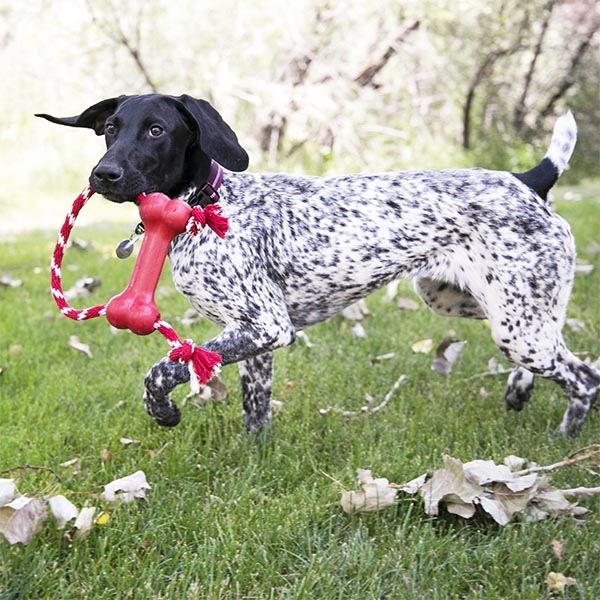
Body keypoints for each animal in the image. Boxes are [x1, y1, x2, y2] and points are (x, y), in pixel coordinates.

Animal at [37, 95, 596, 440]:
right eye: (110, 129)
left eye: (155, 130)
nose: (103, 174)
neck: (208, 206)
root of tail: (528, 179)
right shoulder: (253, 337)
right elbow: (255, 412)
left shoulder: (266, 326)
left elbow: (163, 369)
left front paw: (164, 410)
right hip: (482, 304)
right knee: (567, 348)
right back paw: (521, 390)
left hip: (517, 326)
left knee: (585, 378)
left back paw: (563, 440)